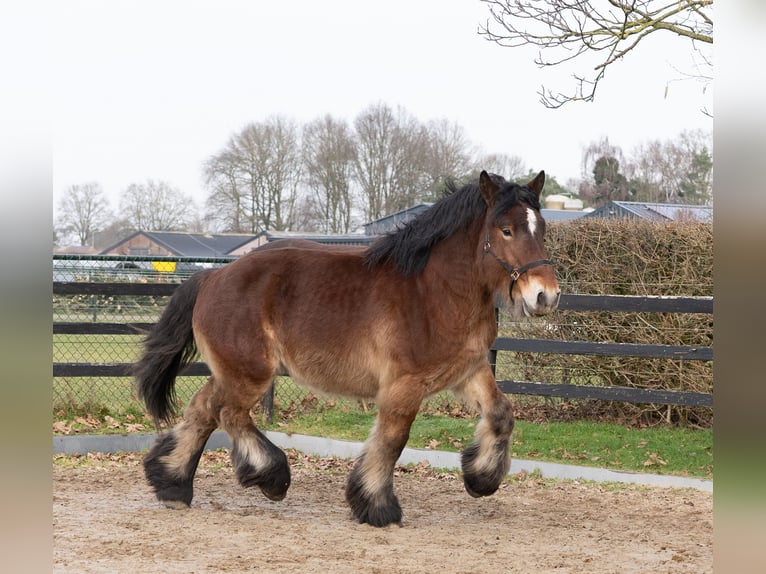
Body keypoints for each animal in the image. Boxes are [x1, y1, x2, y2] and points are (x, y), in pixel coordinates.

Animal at [135, 170, 560, 527]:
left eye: (542, 229)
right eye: (506, 230)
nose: (546, 296)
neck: (435, 291)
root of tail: (212, 276)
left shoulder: (468, 371)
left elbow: (502, 414)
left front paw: (481, 480)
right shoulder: (404, 384)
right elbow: (392, 440)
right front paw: (378, 508)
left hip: (234, 371)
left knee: (203, 410)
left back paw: (172, 485)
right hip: (250, 373)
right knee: (228, 413)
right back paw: (271, 477)